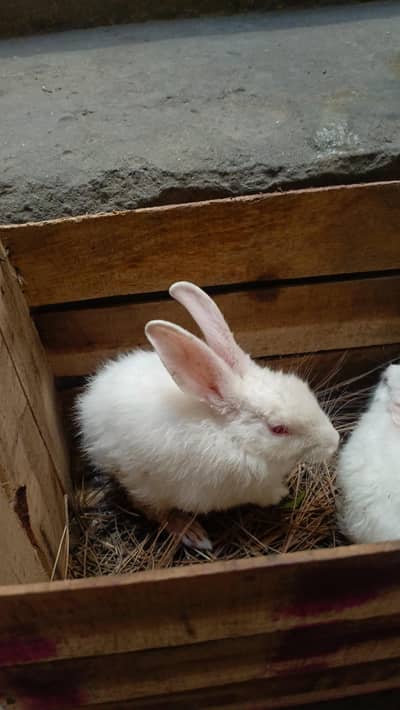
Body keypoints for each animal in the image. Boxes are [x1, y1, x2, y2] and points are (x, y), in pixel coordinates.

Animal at [76, 281, 339, 550]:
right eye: (278, 429)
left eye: (303, 387)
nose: (335, 441)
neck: (234, 438)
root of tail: (89, 408)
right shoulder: (250, 487)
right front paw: (280, 494)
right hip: (143, 483)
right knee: (150, 508)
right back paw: (192, 532)